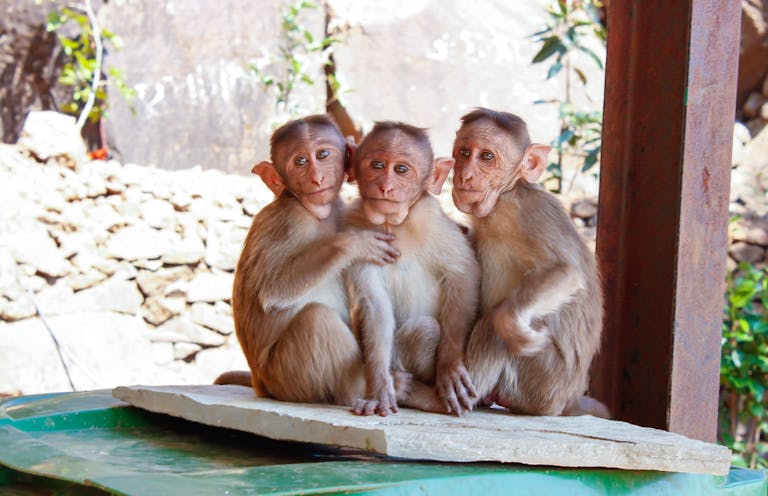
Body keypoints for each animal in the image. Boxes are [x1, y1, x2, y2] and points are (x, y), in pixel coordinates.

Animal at [222, 114, 403, 407]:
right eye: (300, 162)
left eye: (323, 154)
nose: (317, 179)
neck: (316, 212)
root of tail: (260, 384)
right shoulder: (290, 220)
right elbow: (271, 291)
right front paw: (354, 243)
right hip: (285, 376)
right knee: (316, 319)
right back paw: (364, 390)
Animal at [344, 121, 481, 416]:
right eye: (377, 164)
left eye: (402, 170)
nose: (385, 187)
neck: (391, 225)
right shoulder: (354, 228)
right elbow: (375, 305)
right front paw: (379, 389)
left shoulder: (430, 219)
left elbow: (463, 274)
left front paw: (450, 365)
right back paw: (401, 386)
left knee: (425, 329)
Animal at [451, 108, 607, 418]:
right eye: (464, 152)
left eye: (486, 157)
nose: (465, 174)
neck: (506, 193)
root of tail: (567, 399)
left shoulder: (523, 213)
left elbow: (567, 273)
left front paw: (510, 324)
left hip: (542, 385)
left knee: (493, 325)